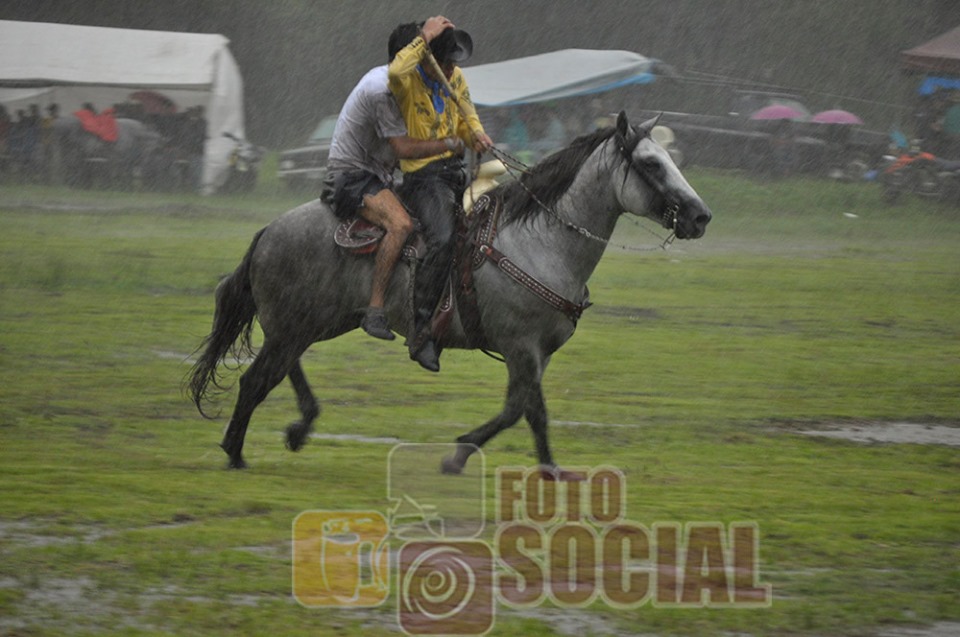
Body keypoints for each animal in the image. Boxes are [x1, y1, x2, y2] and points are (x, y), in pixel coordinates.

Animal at [187, 111, 712, 473]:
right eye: (651, 163)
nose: (700, 216)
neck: (539, 242)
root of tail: (268, 231)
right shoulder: (521, 346)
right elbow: (526, 411)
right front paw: (494, 461)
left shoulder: (536, 353)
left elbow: (524, 411)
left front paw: (508, 463)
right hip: (296, 326)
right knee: (256, 380)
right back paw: (236, 452)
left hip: (315, 323)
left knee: (281, 369)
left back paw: (298, 427)